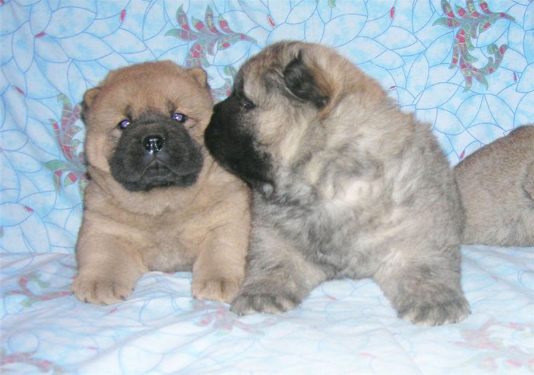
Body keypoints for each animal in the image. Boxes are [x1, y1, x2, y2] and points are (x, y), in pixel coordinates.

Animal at [70, 61, 251, 306]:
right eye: (124, 124)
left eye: (178, 117)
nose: (153, 140)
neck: (162, 205)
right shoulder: (102, 227)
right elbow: (103, 255)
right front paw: (100, 284)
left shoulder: (230, 218)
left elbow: (222, 250)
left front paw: (219, 283)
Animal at [206, 39, 474, 324]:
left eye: (246, 103)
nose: (212, 113)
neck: (326, 177)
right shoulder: (274, 234)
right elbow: (272, 261)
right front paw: (261, 294)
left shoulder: (418, 228)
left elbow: (425, 265)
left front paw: (435, 301)